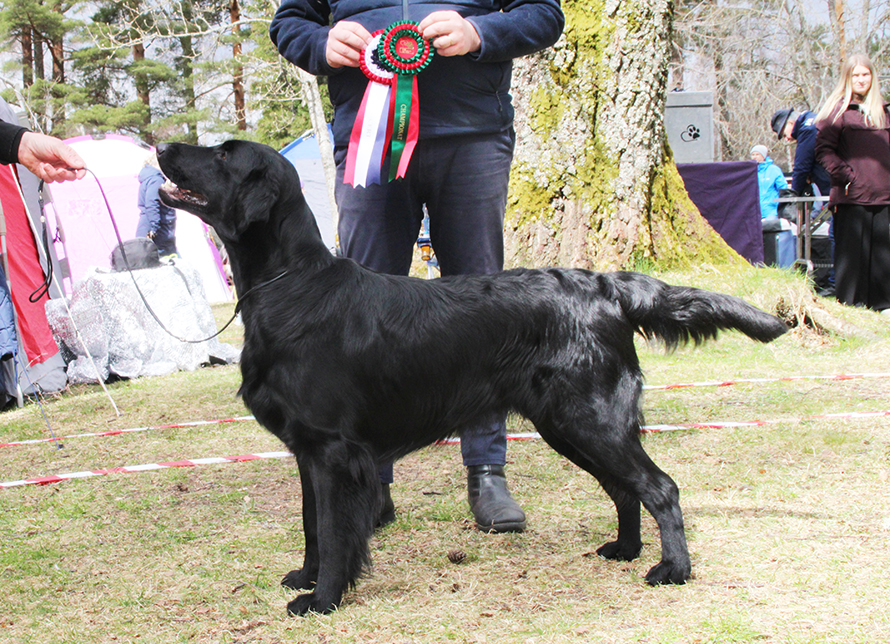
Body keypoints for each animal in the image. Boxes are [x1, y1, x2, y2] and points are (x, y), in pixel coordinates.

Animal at [156, 140, 788, 615]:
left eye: (221, 153)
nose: (162, 147)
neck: (289, 285)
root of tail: (606, 286)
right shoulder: (307, 451)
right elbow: (313, 526)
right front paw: (305, 578)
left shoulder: (332, 450)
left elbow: (335, 533)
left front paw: (323, 599)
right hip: (569, 425)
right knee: (624, 488)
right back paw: (626, 550)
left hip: (591, 419)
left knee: (660, 487)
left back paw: (671, 568)